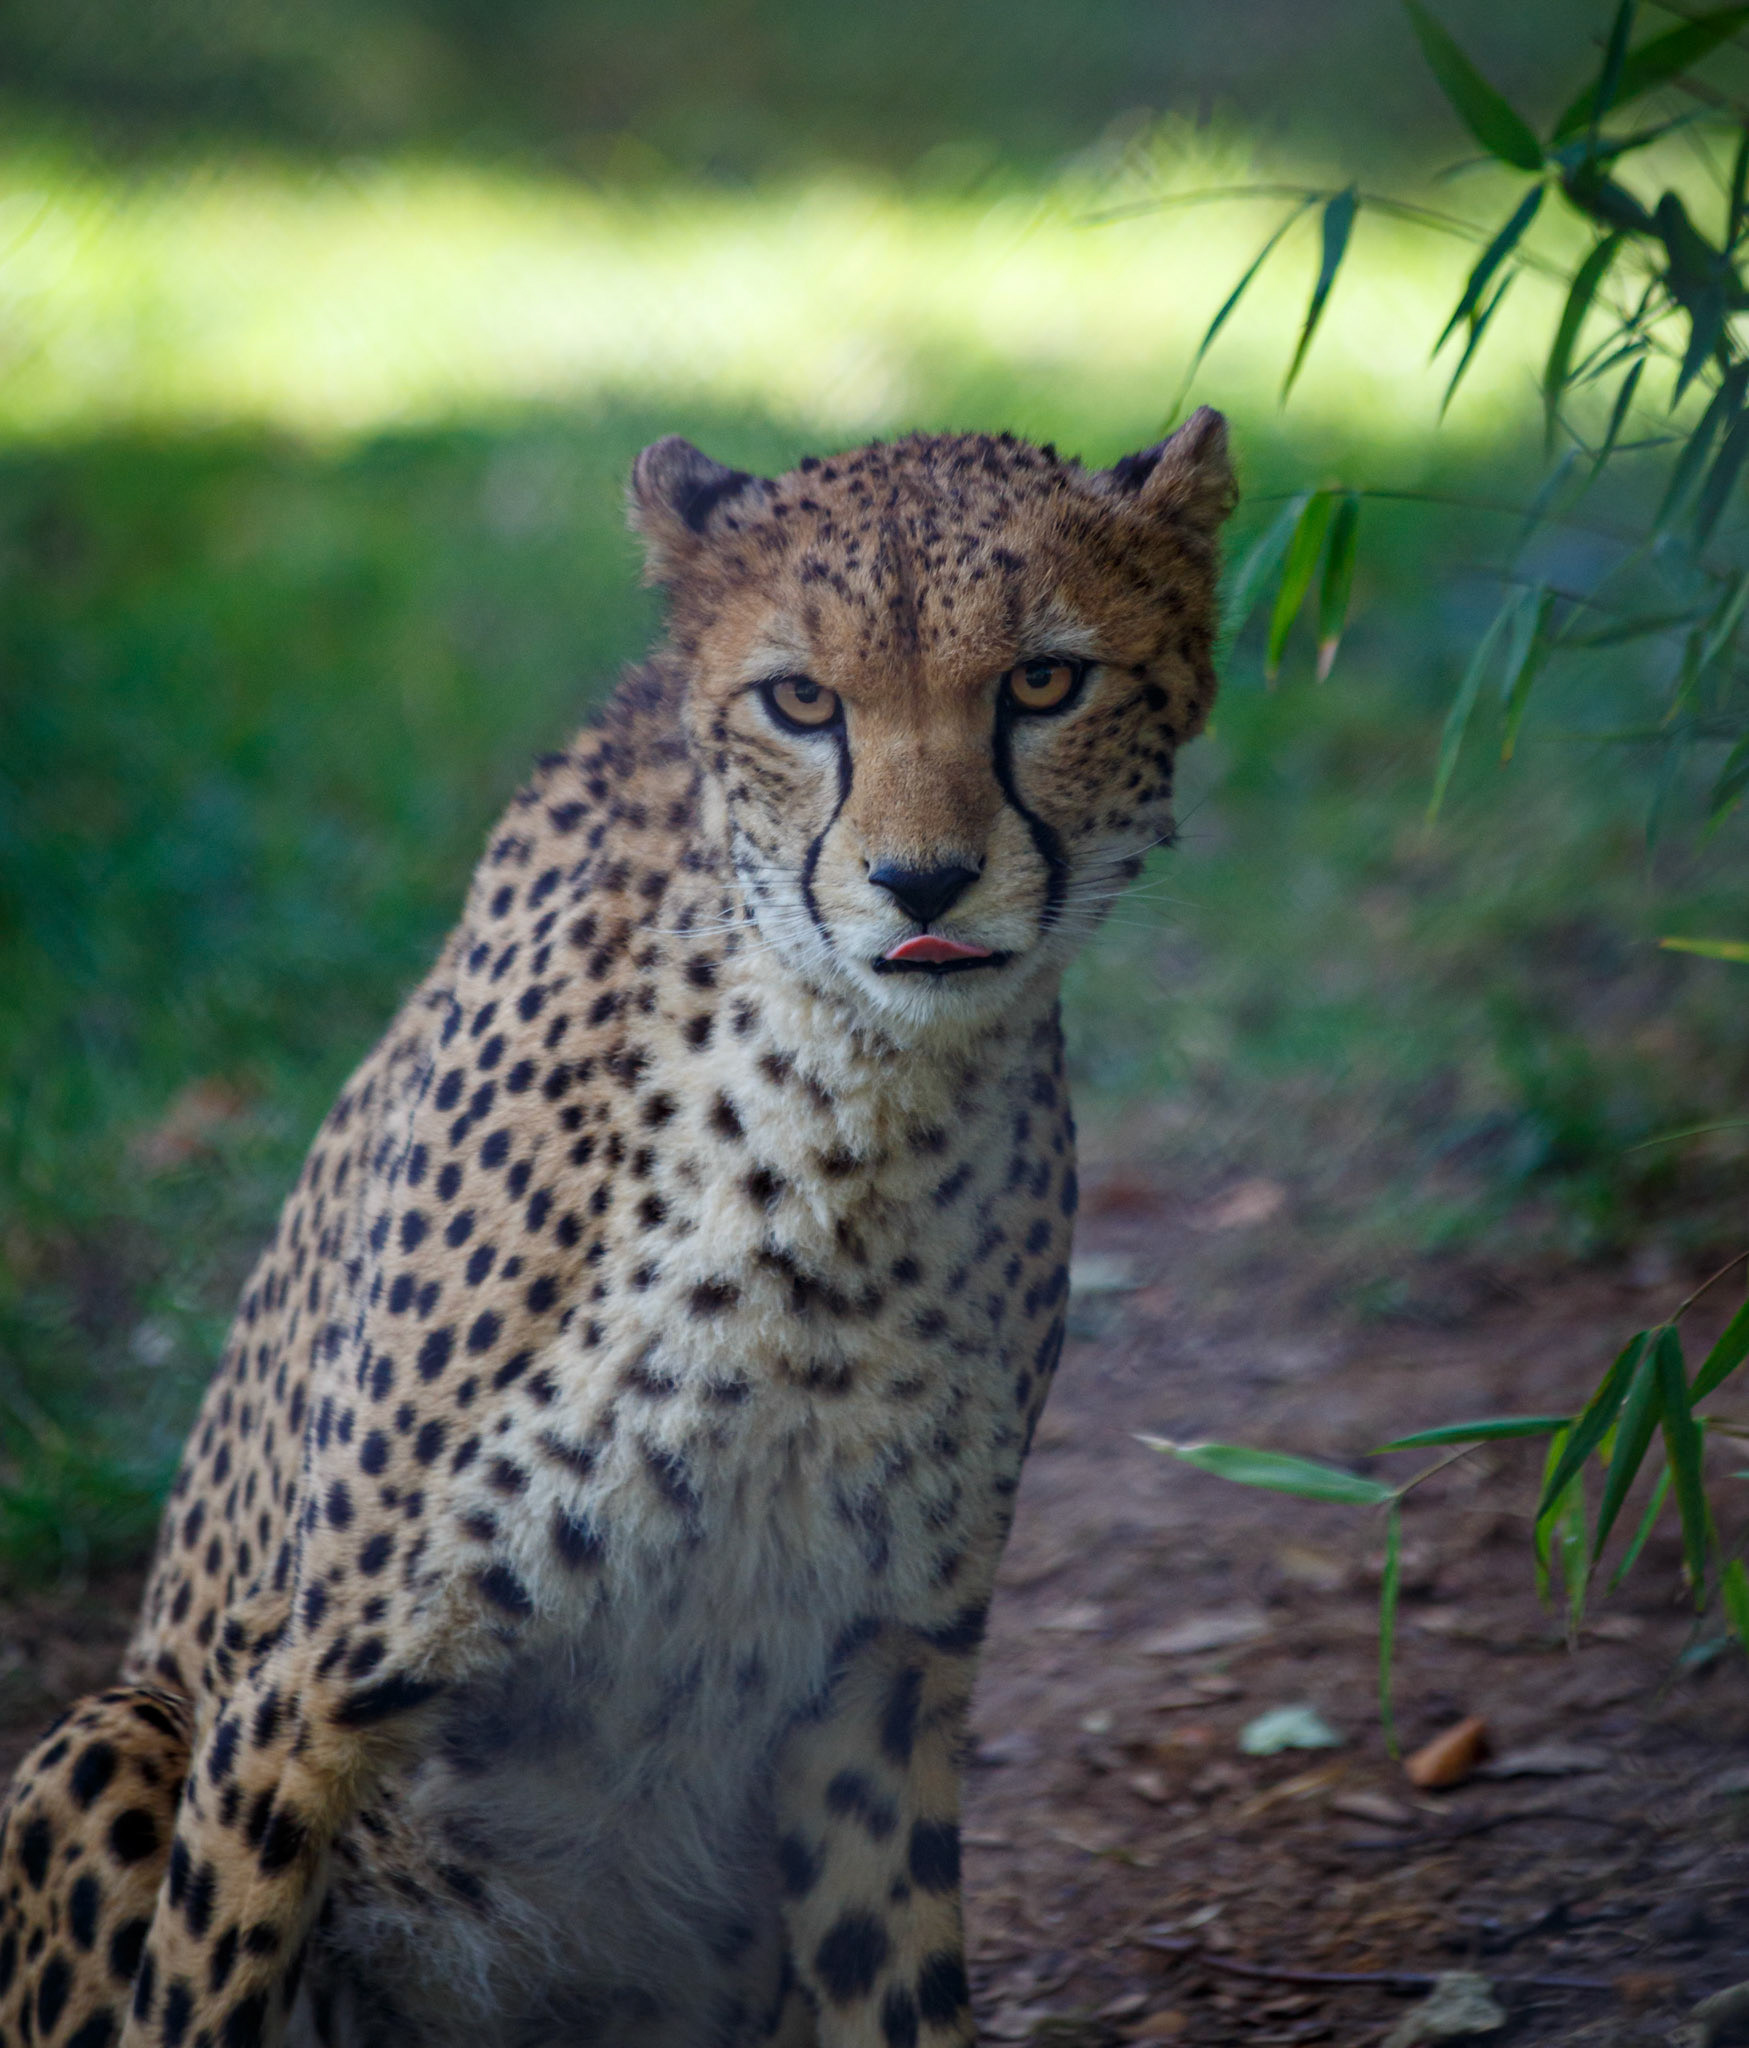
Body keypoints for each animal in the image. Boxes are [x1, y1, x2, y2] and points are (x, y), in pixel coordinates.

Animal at [0, 408, 1236, 2048]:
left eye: (1043, 681)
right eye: (800, 700)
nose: (922, 881)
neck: (838, 1127)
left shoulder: (881, 1671)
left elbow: (898, 1990)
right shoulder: (304, 1682)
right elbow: (198, 1990)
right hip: (111, 1725)